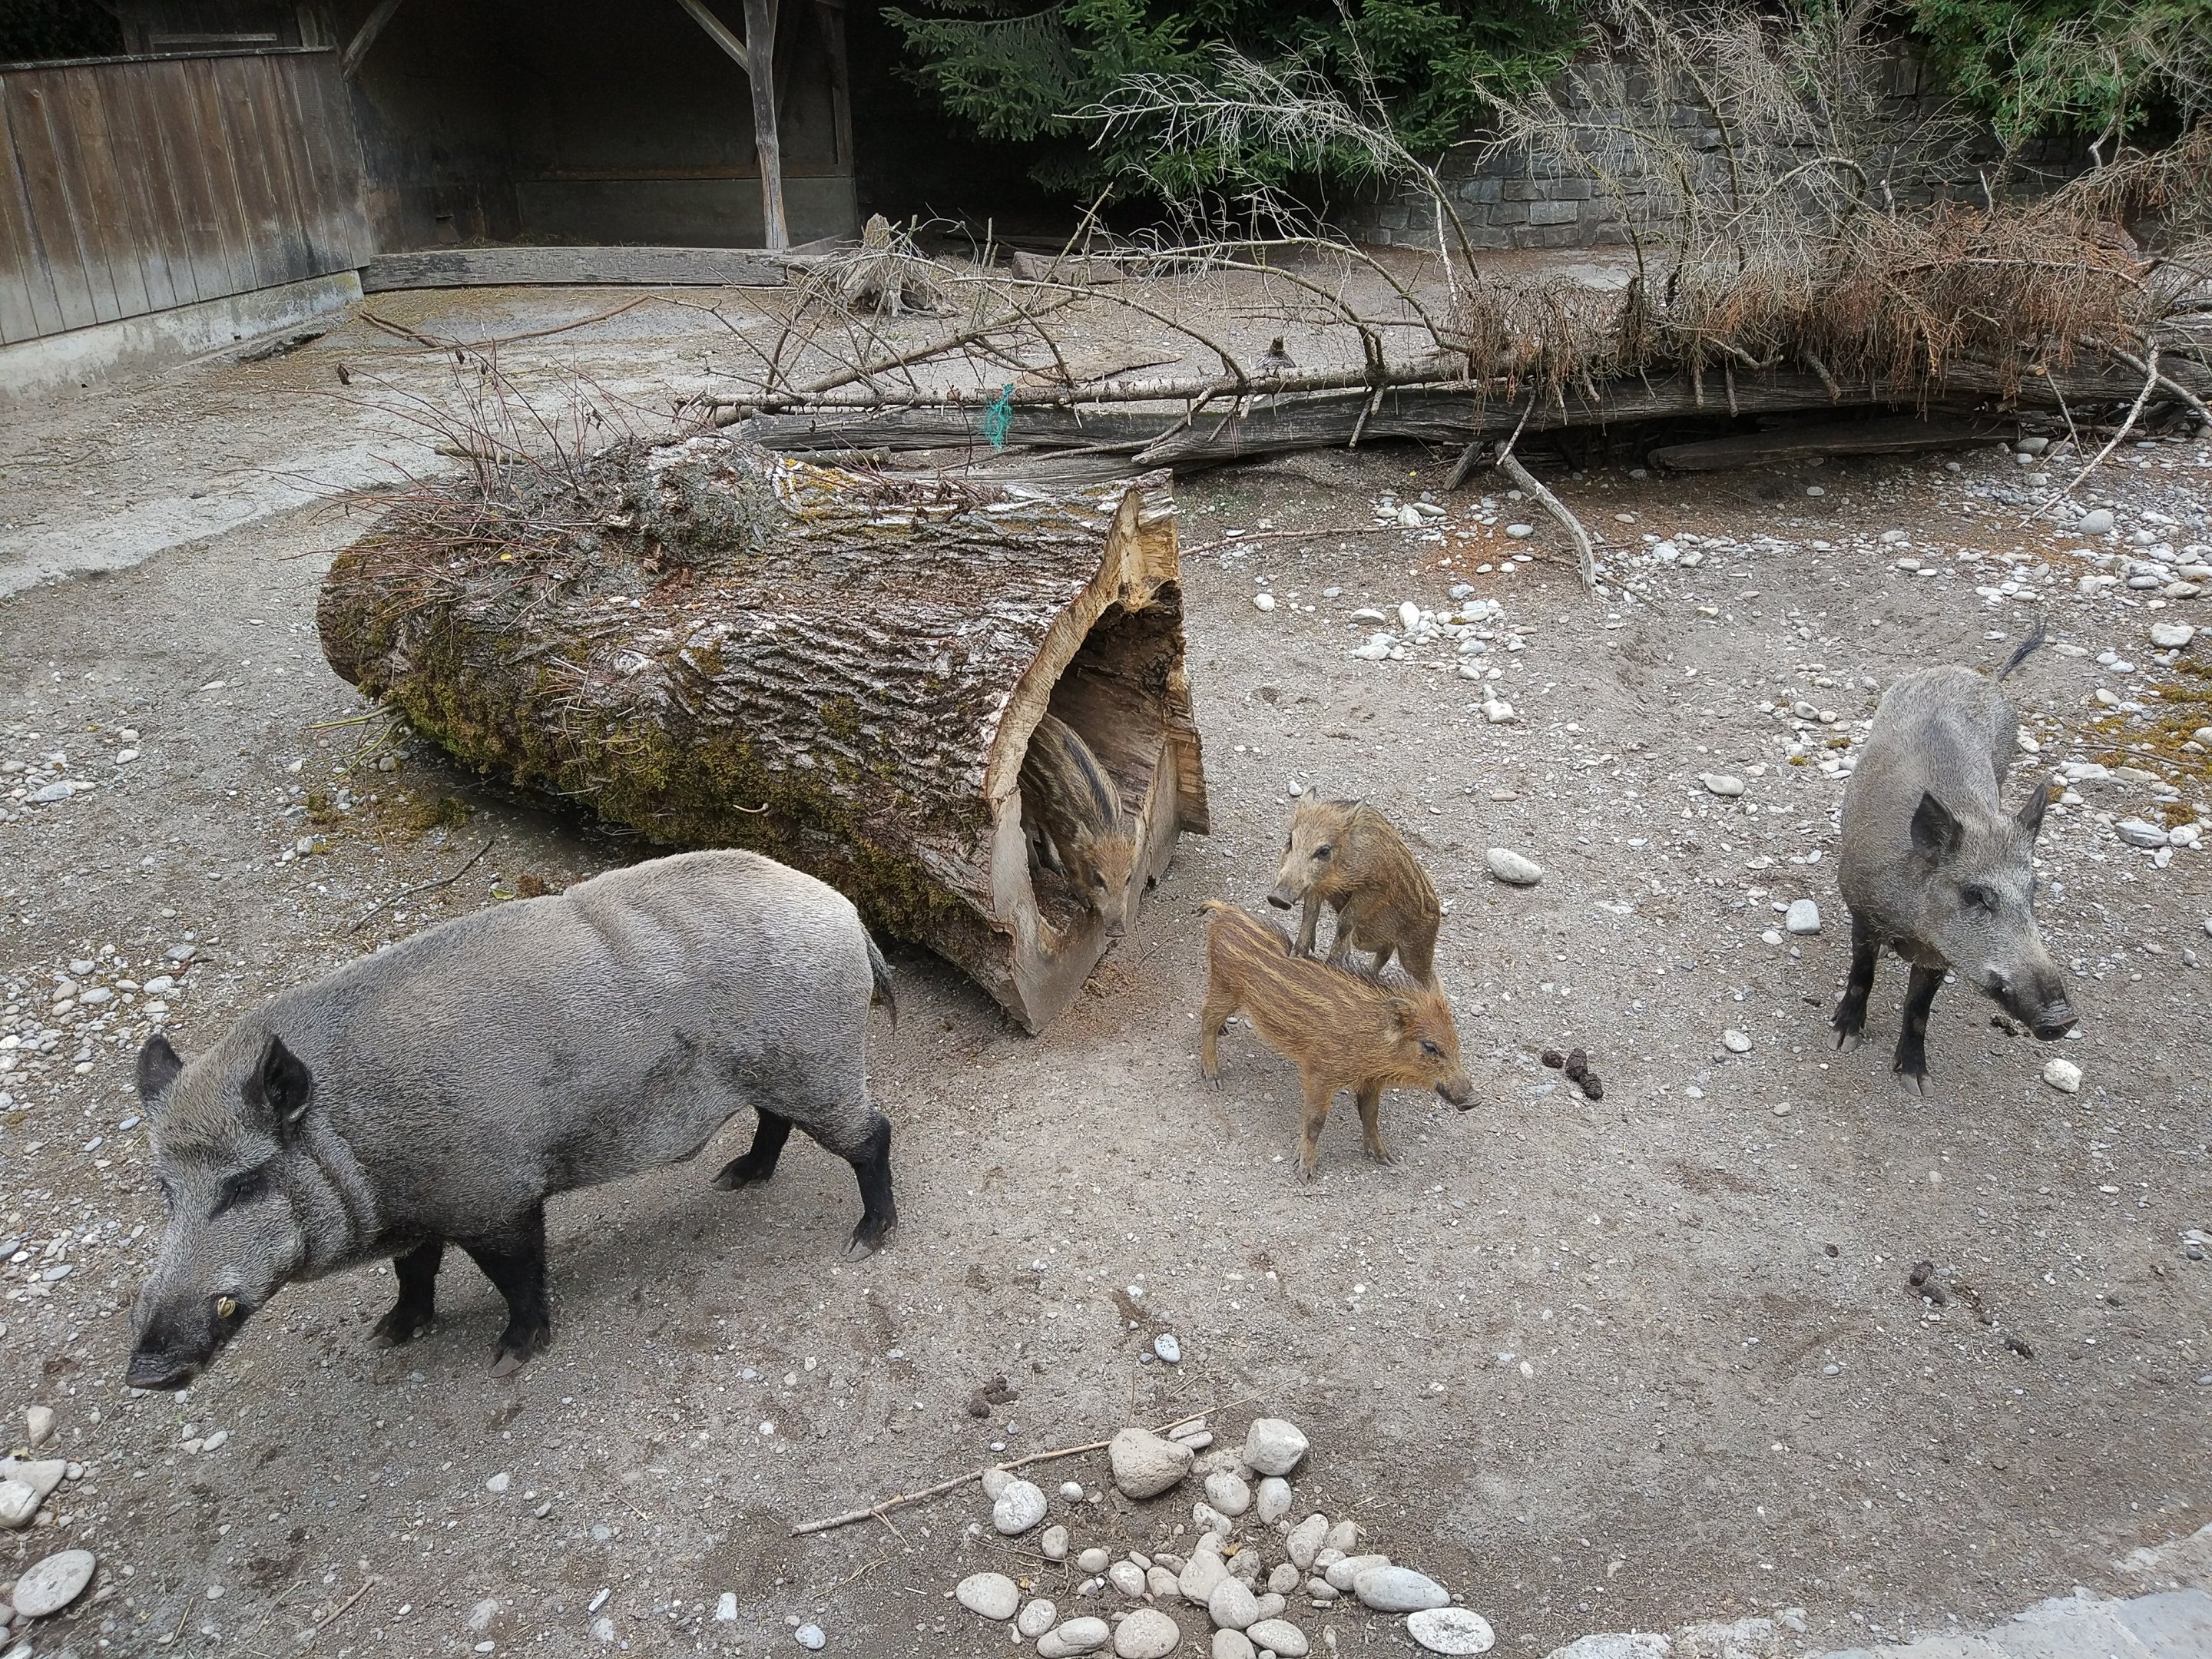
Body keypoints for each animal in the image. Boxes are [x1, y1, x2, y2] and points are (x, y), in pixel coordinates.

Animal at [125, 849, 896, 1391]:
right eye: (165, 1190)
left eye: (244, 1183)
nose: (144, 1371)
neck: (355, 1130)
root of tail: (845, 913)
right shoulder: (425, 1208)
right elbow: (413, 1272)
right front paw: (387, 1334)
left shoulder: (495, 1192)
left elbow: (517, 1276)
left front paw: (507, 1361)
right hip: (783, 1070)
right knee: (775, 1123)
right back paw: (737, 1178)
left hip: (821, 1063)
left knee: (873, 1135)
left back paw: (865, 1242)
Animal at [1020, 712, 1139, 937]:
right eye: (1098, 879)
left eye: (1128, 879)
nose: (1117, 932)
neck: (1104, 828)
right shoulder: (1063, 834)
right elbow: (1072, 867)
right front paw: (1084, 902)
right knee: (1023, 825)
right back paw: (1037, 872)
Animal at [1197, 900, 1473, 1179]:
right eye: (1430, 1046)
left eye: (1456, 1042)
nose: (1475, 1099)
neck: (1371, 1039)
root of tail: (1226, 913)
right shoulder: (1320, 1072)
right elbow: (1315, 1120)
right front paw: (1305, 1173)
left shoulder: (1371, 1082)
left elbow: (1370, 1116)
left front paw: (1386, 1159)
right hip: (1225, 988)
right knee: (1206, 1019)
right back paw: (1214, 1079)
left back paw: (1223, 1033)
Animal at [1267, 789, 1440, 984]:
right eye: (1290, 841)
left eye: (1324, 850)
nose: (1278, 898)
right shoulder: (1316, 887)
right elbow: (1309, 916)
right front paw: (1296, 956)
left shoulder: (1375, 886)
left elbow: (1345, 921)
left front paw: (1332, 965)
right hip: (1370, 938)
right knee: (1386, 952)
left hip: (1416, 948)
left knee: (1430, 978)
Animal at [1832, 633, 2075, 1092]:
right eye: (1975, 895)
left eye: (2033, 891)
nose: (2064, 1018)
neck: (1912, 926)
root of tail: (1983, 676)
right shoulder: (1862, 909)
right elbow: (1861, 976)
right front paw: (1843, 1040)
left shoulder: (1940, 956)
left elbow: (1919, 1009)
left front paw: (1917, 1084)